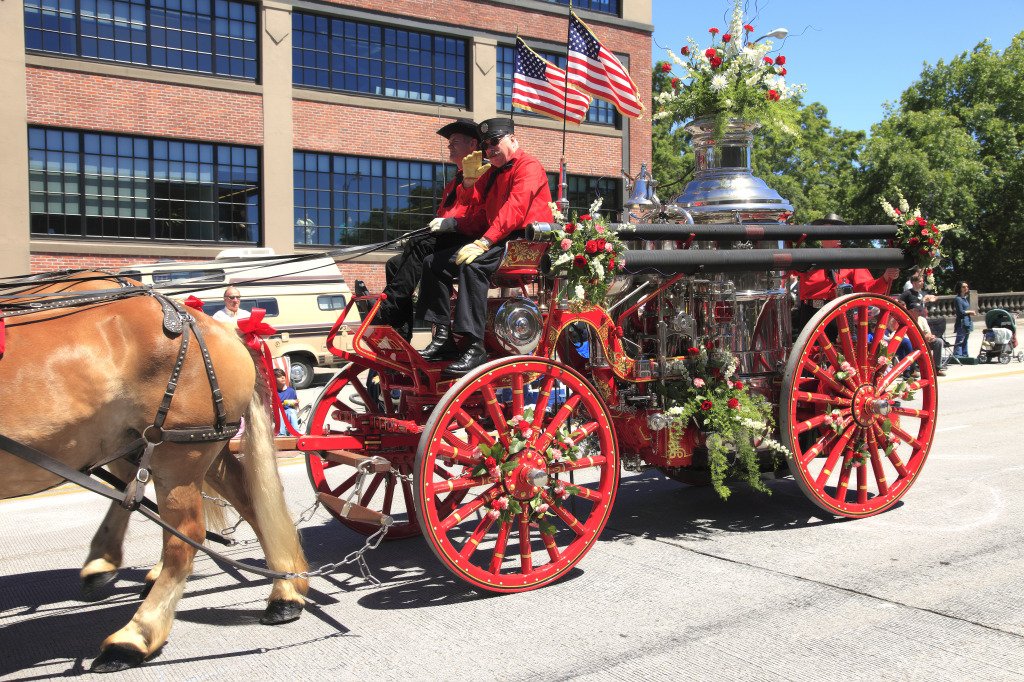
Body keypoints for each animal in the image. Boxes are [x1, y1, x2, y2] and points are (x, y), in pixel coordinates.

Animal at [2, 270, 309, 667]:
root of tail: (223, 329)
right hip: (174, 445)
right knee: (248, 501)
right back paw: (285, 591)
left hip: (178, 453)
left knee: (186, 535)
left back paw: (134, 637)